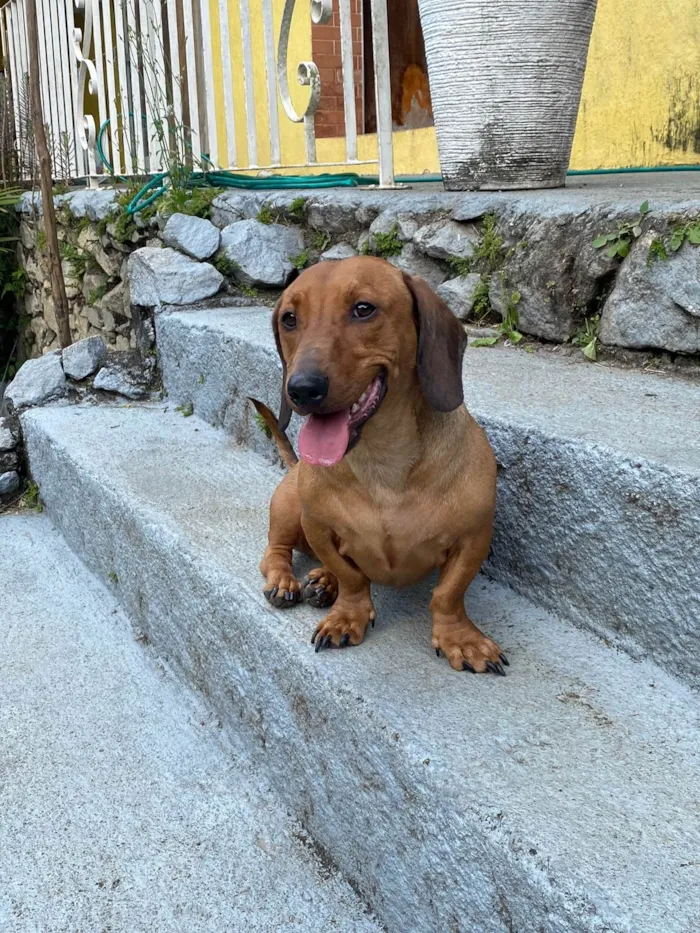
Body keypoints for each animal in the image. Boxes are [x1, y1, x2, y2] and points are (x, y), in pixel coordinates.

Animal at [254, 255, 506, 676]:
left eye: (363, 309)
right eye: (289, 318)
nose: (302, 389)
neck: (382, 463)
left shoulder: (473, 538)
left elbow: (447, 594)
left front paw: (460, 638)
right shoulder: (318, 526)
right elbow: (352, 576)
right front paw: (347, 615)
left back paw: (322, 583)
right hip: (288, 508)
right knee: (275, 552)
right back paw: (290, 582)